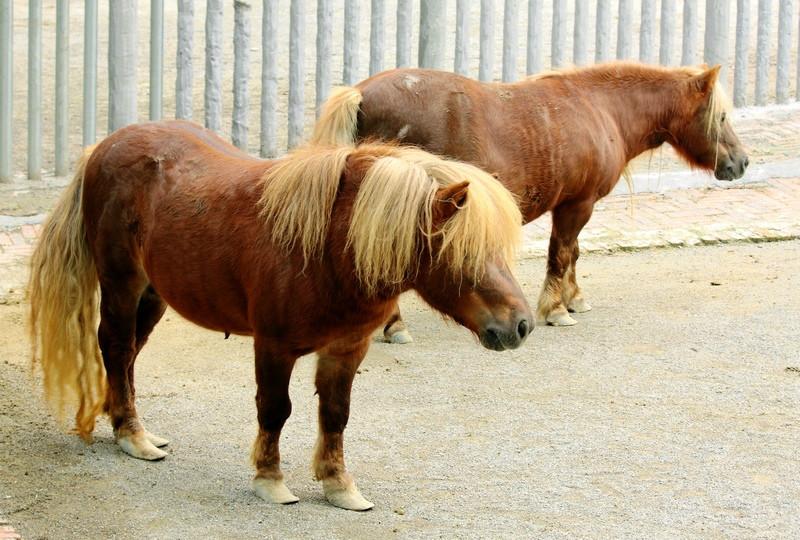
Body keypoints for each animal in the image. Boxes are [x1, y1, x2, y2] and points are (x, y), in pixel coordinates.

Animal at [28, 121, 532, 510]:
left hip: (154, 294)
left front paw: (338, 485)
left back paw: (129, 424)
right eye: (465, 252)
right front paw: (270, 481)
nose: (521, 324)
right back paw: (132, 436)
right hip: (121, 284)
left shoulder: (346, 350)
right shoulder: (273, 347)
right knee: (115, 347)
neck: (330, 247)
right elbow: (275, 410)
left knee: (129, 354)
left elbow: (335, 414)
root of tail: (104, 147)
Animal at [310, 61, 748, 340]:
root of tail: (360, 93)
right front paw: (556, 309)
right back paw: (395, 327)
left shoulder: (574, 206)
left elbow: (572, 254)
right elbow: (562, 253)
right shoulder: (577, 205)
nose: (742, 162)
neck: (600, 109)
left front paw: (574, 300)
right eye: (722, 117)